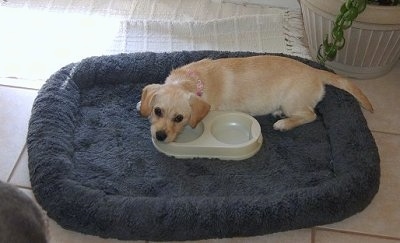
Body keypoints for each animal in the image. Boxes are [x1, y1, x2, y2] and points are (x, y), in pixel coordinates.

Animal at [139, 55, 374, 142]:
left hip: (292, 102)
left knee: (311, 115)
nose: (160, 136)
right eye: (157, 111)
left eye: (179, 118)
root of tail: (316, 71)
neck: (192, 81)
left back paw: (284, 123)